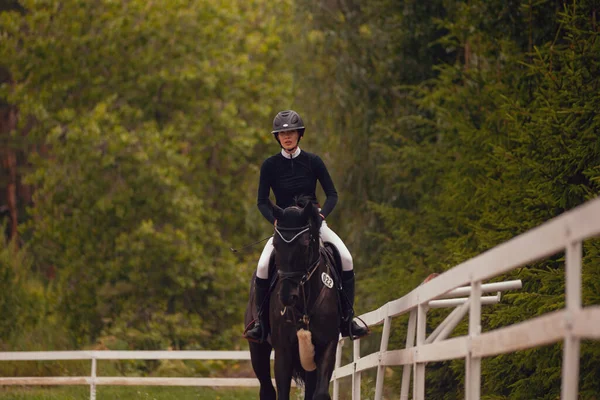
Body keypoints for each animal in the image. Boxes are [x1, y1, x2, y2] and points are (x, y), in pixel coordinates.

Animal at [241, 202, 340, 400]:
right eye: (275, 245)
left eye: (305, 245)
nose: (287, 297)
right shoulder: (283, 351)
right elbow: (281, 392)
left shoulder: (327, 345)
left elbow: (320, 393)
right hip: (258, 350)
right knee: (267, 390)